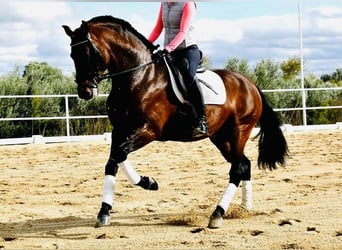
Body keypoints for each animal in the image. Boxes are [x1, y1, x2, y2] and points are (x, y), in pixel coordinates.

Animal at [62, 15, 288, 229]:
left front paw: (147, 184)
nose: (85, 92)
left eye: (88, 54)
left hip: (238, 131)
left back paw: (217, 214)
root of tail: (250, 84)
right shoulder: (120, 129)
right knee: (244, 164)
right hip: (221, 137)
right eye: (72, 55)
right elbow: (114, 159)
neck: (138, 76)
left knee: (237, 169)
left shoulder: (149, 130)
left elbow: (118, 155)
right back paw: (244, 207)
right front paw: (109, 208)